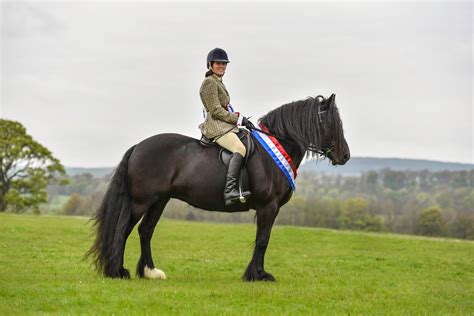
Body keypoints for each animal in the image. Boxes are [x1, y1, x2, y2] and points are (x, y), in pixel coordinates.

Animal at [87, 93, 350, 282]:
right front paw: (258, 275)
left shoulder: (268, 208)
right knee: (124, 230)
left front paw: (254, 273)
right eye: (331, 123)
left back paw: (150, 272)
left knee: (145, 231)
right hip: (141, 201)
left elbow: (261, 239)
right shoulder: (269, 205)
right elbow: (263, 240)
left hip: (160, 200)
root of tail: (138, 146)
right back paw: (118, 271)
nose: (345, 156)